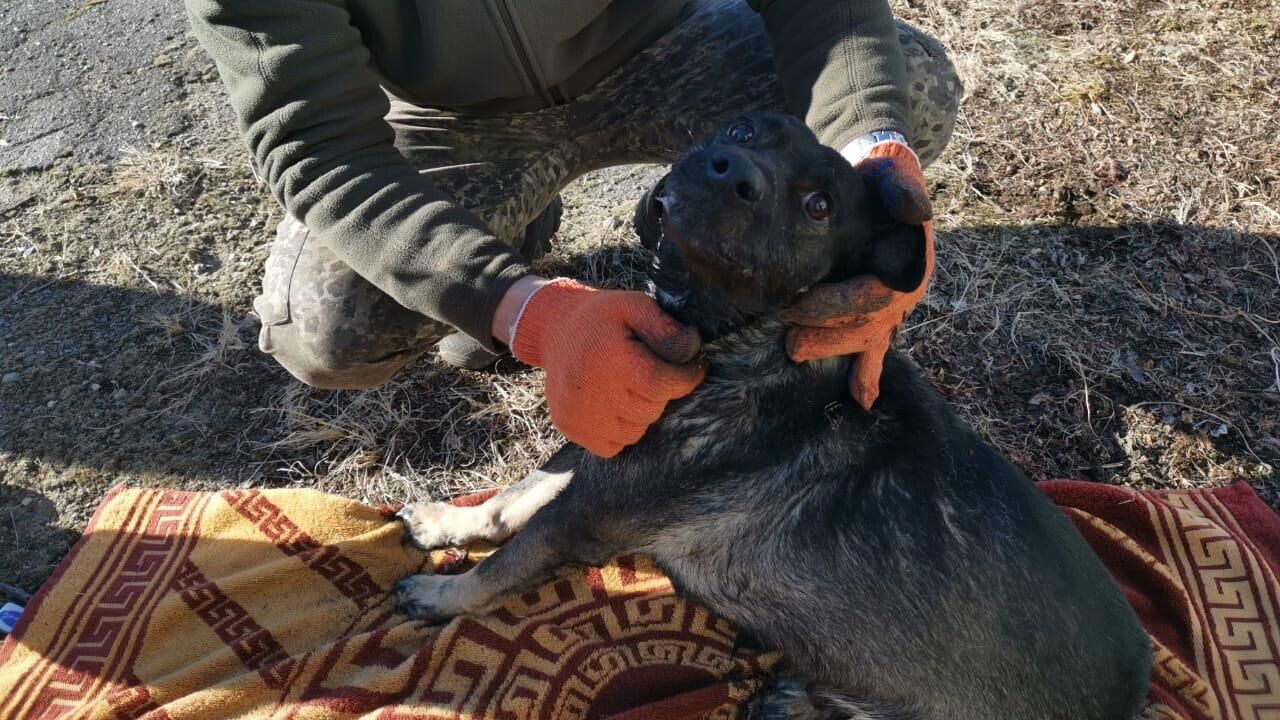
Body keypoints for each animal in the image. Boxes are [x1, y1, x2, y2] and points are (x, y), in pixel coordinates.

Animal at [391, 112, 1152, 717]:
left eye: (819, 205)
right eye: (743, 128)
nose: (728, 170)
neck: (733, 347)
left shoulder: (590, 518)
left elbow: (509, 559)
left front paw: (442, 594)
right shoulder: (608, 448)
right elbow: (515, 497)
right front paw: (447, 523)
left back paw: (796, 698)